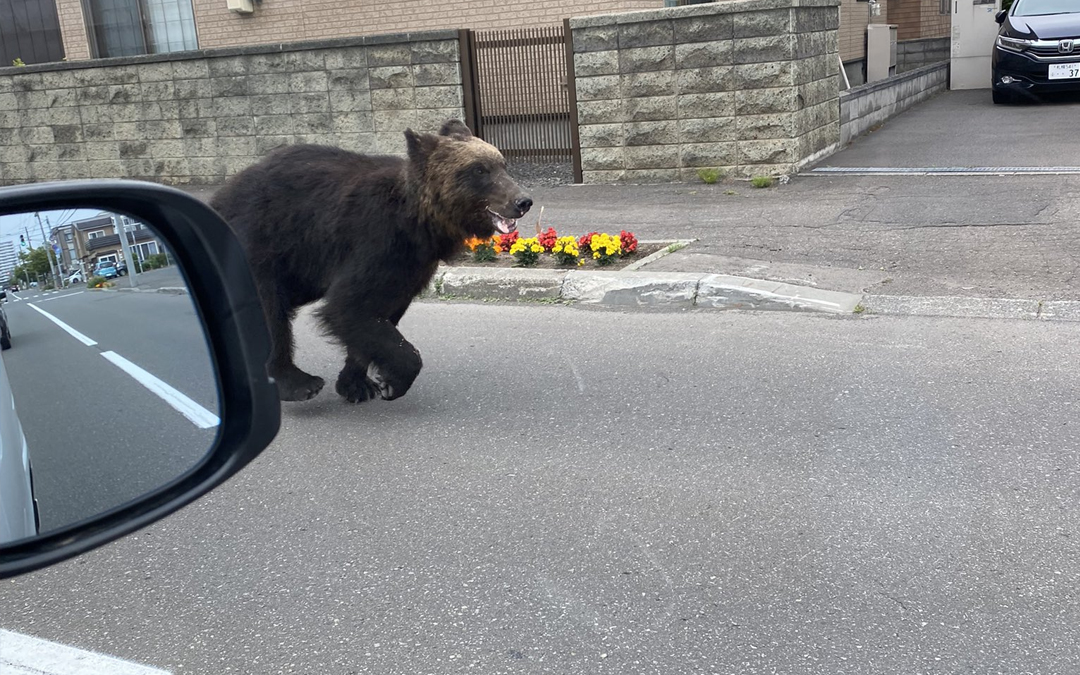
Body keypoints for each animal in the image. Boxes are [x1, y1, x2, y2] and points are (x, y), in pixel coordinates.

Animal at [206, 120, 531, 399]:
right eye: (479, 170)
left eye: (502, 164)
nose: (522, 201)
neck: (419, 223)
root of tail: (219, 196)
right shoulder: (374, 241)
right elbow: (348, 305)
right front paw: (394, 380)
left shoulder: (411, 265)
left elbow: (375, 315)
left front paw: (360, 383)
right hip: (260, 241)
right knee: (268, 310)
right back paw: (297, 382)